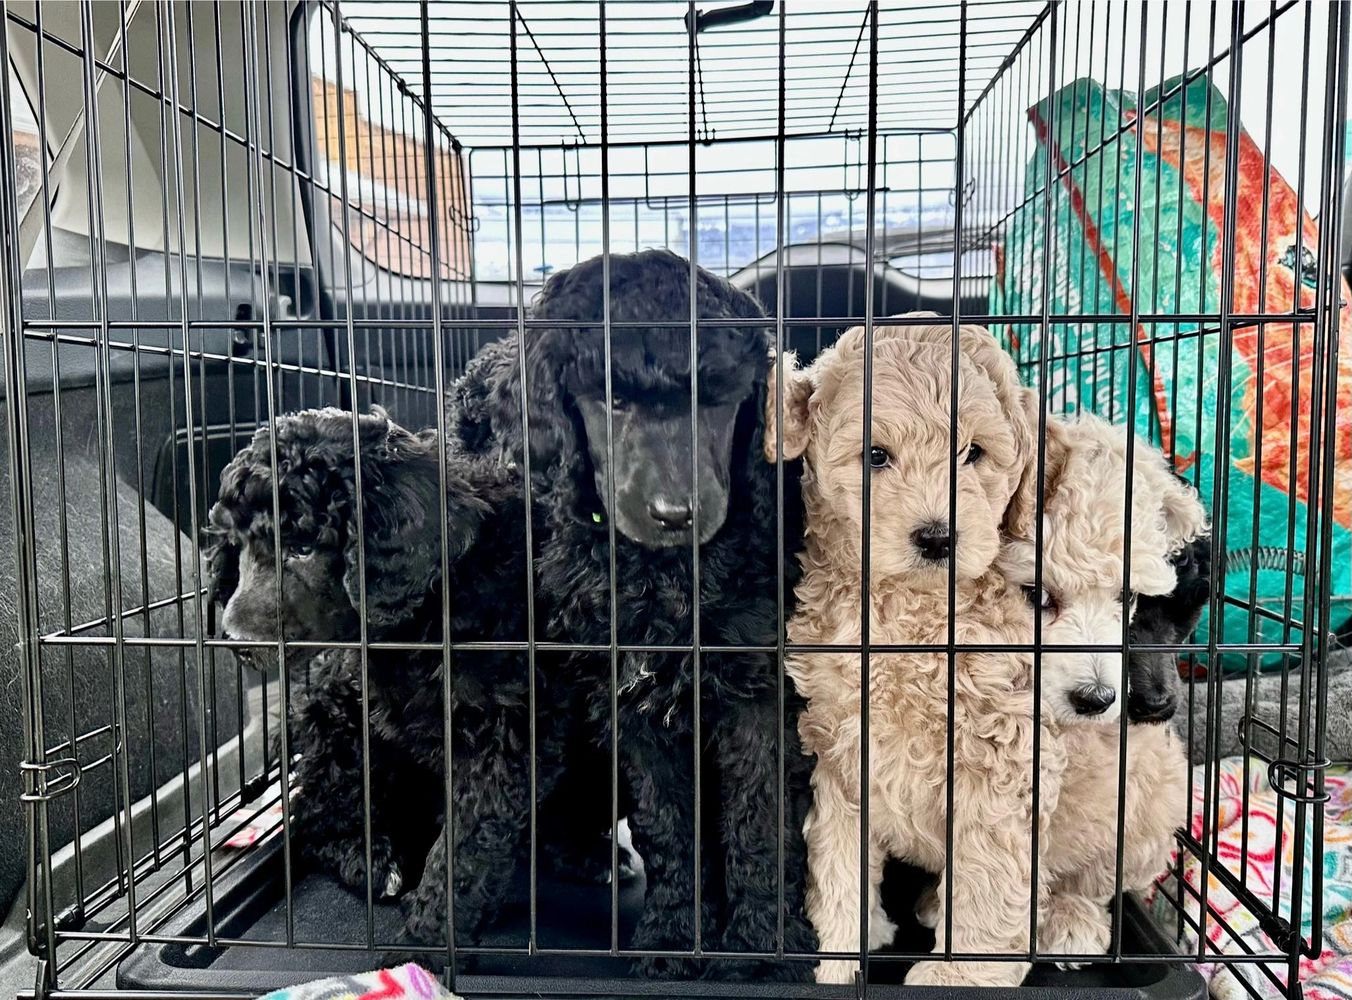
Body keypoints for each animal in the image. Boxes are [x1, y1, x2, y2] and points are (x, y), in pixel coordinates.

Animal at [205, 405, 543, 945]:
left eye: (303, 546)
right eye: (236, 544)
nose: (234, 641)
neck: (425, 620)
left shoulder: (499, 733)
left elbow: (467, 841)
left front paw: (428, 936)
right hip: (340, 720)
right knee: (315, 815)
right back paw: (370, 861)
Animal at [451, 245, 811, 978]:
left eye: (716, 402)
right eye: (611, 401)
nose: (675, 513)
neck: (664, 575)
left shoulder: (758, 690)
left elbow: (761, 820)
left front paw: (762, 950)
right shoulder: (630, 700)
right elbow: (667, 821)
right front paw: (674, 936)